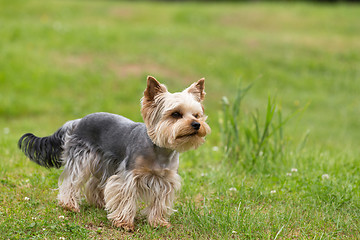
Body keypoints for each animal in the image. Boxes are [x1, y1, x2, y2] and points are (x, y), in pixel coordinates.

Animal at [18, 77, 211, 231]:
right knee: (71, 181)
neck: (159, 150)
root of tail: (77, 121)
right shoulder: (128, 177)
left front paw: (158, 223)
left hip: (103, 162)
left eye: (197, 115)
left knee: (94, 184)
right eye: (176, 114)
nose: (196, 124)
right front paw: (124, 223)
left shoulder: (165, 180)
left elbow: (160, 202)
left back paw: (99, 203)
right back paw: (69, 205)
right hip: (82, 158)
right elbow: (125, 198)